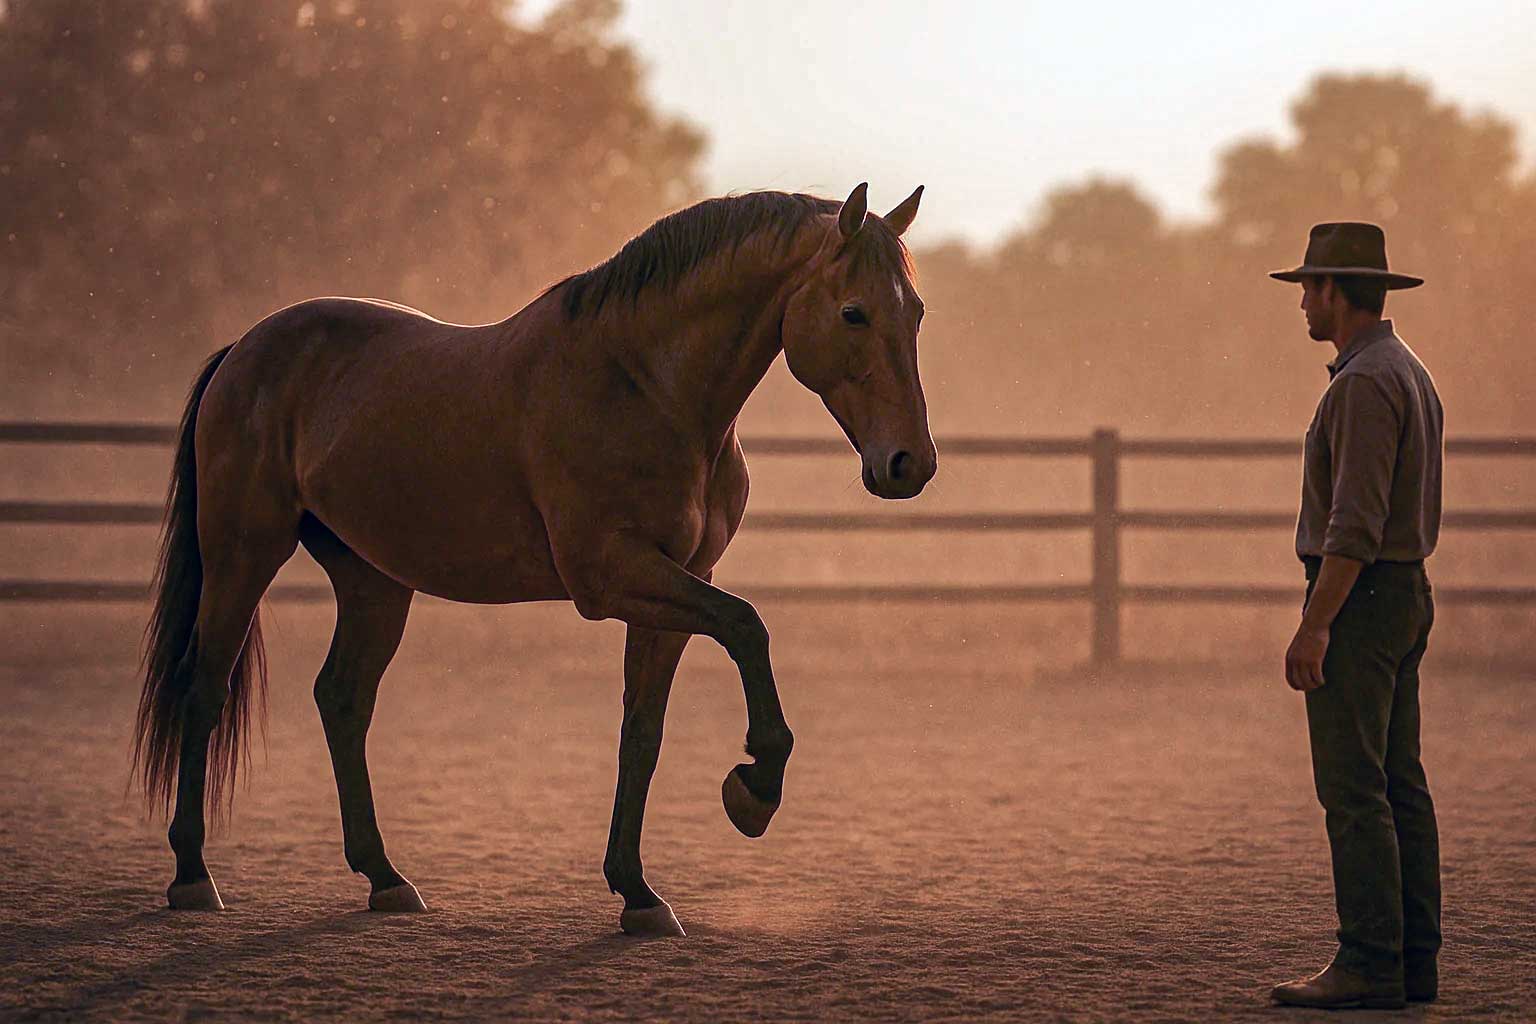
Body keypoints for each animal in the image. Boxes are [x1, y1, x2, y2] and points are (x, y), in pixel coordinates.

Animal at [133, 183, 936, 937]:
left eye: (917, 313)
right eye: (855, 313)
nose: (910, 464)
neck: (646, 384)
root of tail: (245, 349)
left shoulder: (677, 586)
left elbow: (642, 733)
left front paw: (638, 893)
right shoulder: (611, 578)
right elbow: (747, 627)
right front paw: (755, 788)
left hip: (374, 581)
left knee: (342, 699)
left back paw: (386, 878)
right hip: (244, 553)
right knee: (204, 688)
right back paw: (193, 876)